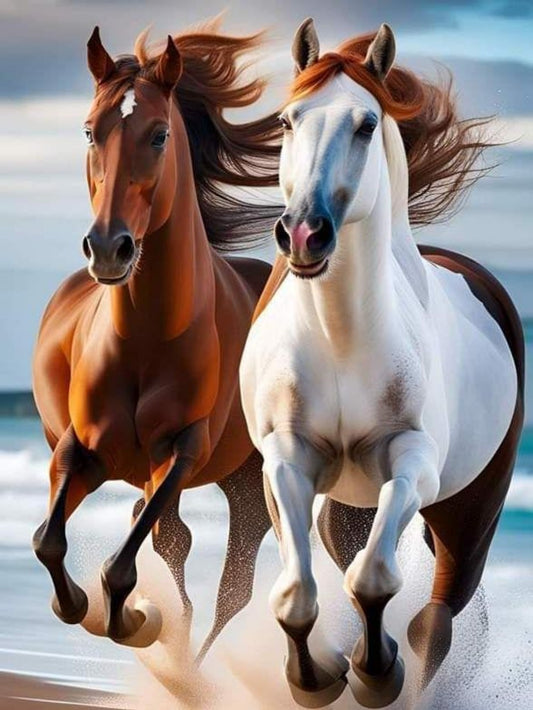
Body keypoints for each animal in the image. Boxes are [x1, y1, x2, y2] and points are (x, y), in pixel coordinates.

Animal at [32, 21, 283, 654]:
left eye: (160, 134)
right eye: (90, 129)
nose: (108, 248)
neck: (146, 339)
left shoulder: (182, 453)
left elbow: (122, 566)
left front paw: (137, 622)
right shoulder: (78, 449)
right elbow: (49, 540)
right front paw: (79, 607)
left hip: (249, 487)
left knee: (229, 586)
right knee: (177, 545)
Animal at [240, 19, 524, 708]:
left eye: (366, 123)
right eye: (287, 120)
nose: (305, 233)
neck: (341, 337)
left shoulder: (412, 460)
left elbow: (374, 579)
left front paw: (374, 673)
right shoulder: (287, 460)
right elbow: (296, 594)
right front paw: (316, 675)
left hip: (470, 508)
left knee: (436, 619)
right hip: (351, 506)